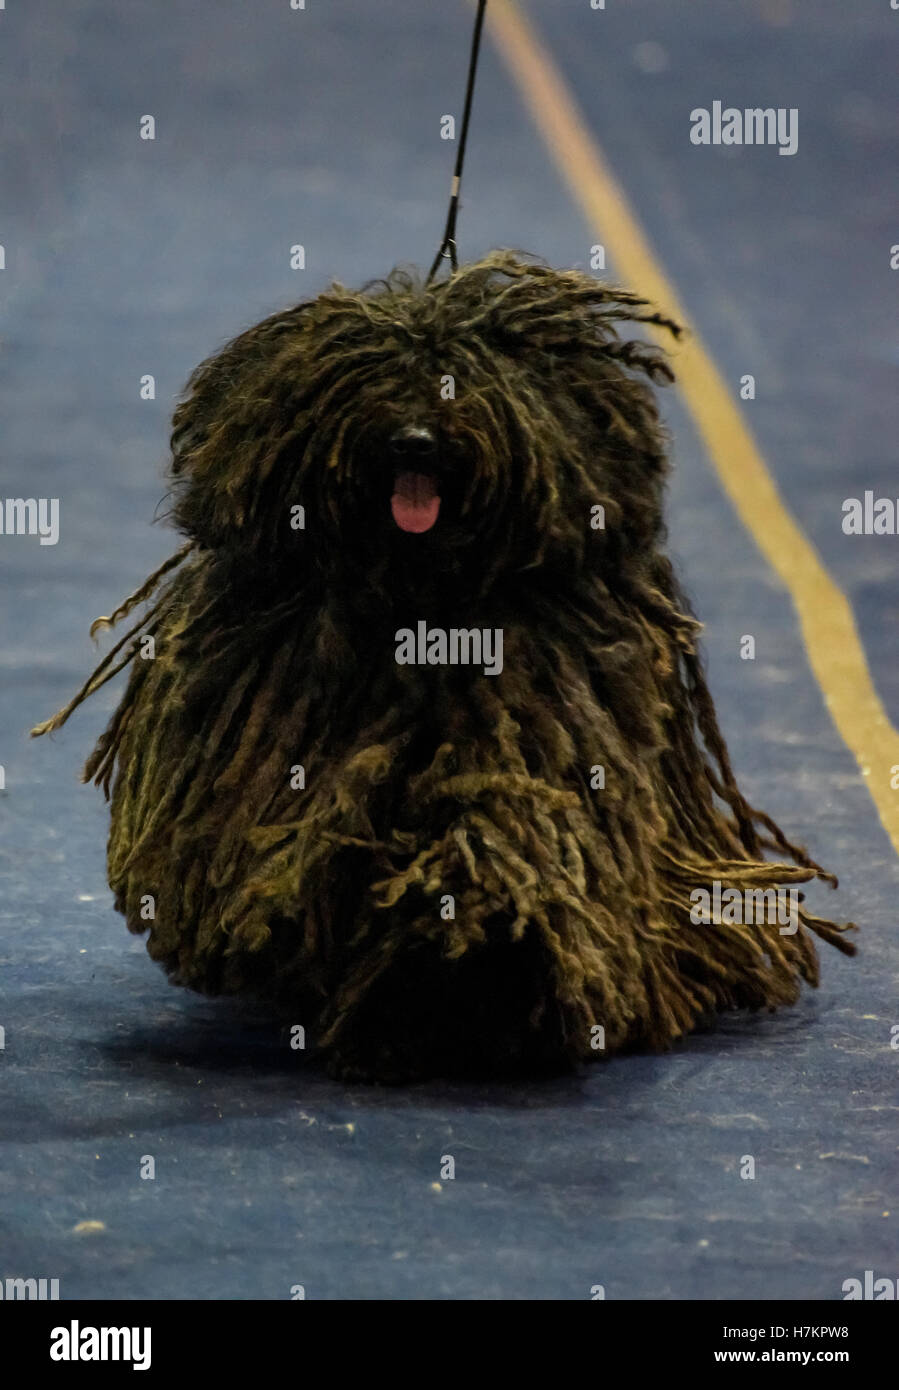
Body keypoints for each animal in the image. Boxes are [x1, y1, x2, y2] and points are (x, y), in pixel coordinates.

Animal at [31, 250, 855, 1078]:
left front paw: (470, 962)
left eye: (469, 374)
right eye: (369, 375)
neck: (419, 607)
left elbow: (499, 836)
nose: (415, 440)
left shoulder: (532, 739)